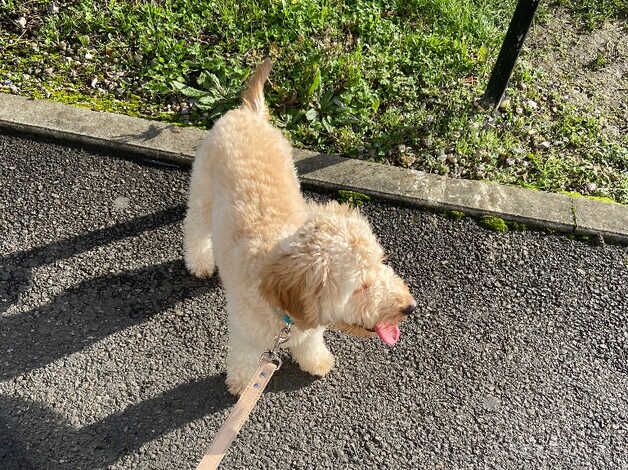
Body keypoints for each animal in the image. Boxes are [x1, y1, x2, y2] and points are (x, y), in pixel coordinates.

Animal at [183, 59, 418, 396]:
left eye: (381, 262)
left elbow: (310, 342)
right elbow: (245, 358)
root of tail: (248, 113)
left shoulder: (309, 326)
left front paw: (316, 361)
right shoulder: (245, 332)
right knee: (194, 227)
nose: (410, 307)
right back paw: (199, 261)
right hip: (203, 189)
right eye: (360, 285)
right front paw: (242, 383)